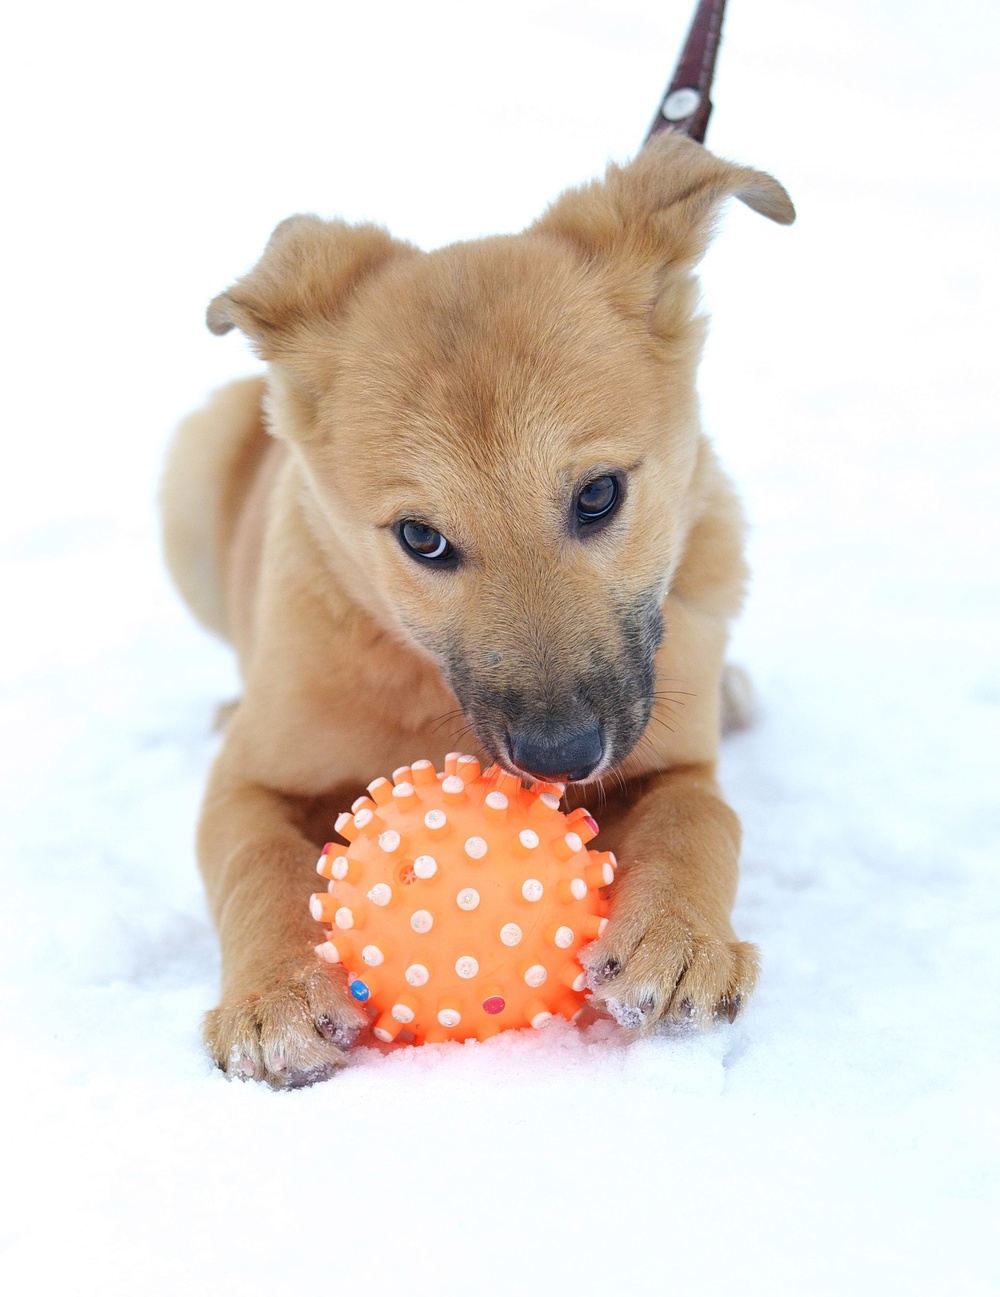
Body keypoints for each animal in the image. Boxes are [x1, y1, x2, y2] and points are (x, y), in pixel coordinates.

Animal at [162, 134, 788, 1084]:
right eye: (421, 538)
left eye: (599, 494)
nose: (562, 756)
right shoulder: (249, 779)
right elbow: (256, 861)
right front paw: (276, 998)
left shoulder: (670, 753)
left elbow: (699, 816)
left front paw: (678, 940)